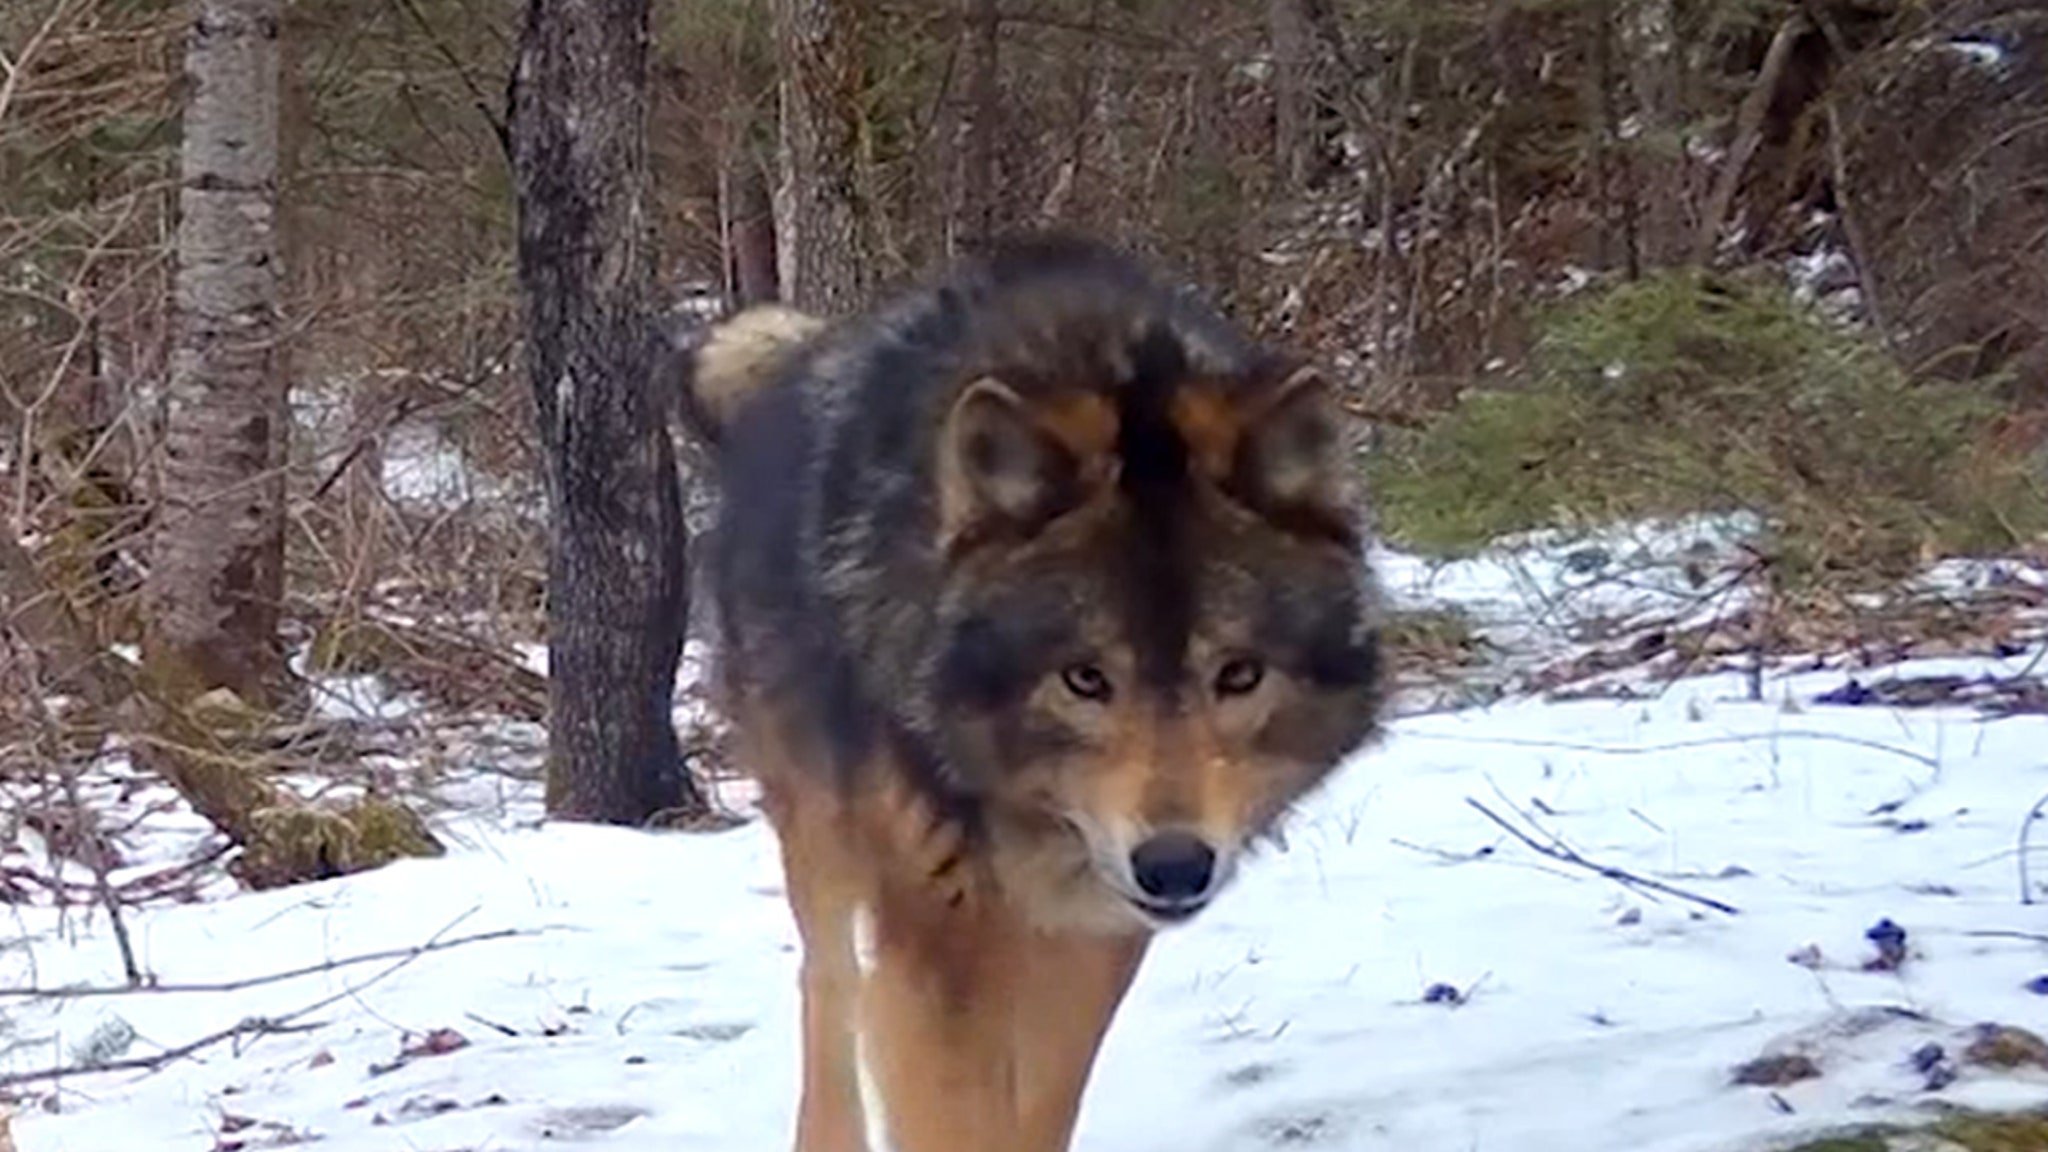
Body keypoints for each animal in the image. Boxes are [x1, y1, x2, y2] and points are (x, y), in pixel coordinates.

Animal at [679, 233, 1384, 1147]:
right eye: (1085, 678)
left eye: (1238, 674)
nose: (1174, 867)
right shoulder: (935, 937)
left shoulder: (1093, 931)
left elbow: (1041, 1103)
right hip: (821, 828)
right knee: (828, 984)